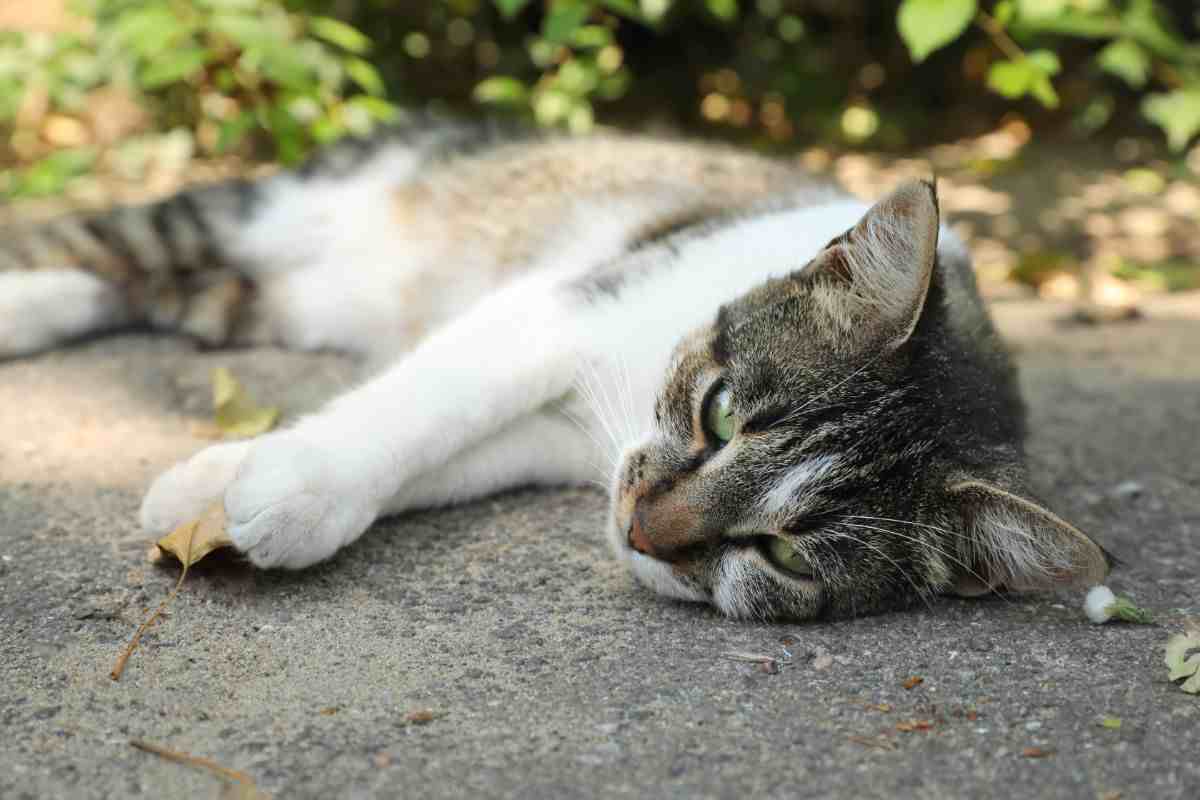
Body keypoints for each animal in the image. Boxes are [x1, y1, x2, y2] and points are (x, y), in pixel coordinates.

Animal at [0, 117, 1108, 618]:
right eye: (719, 414)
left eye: (786, 554)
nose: (645, 532)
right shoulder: (560, 304)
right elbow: (425, 401)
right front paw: (278, 480)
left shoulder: (570, 441)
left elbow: (446, 455)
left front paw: (232, 490)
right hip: (257, 212)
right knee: (92, 239)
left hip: (254, 296)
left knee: (131, 283)